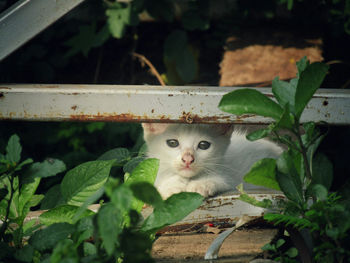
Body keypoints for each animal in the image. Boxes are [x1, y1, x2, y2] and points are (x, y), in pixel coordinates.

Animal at [142, 125, 282, 199]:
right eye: (172, 143)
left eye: (204, 145)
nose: (188, 159)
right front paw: (171, 186)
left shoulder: (230, 175)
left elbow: (222, 180)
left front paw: (201, 184)